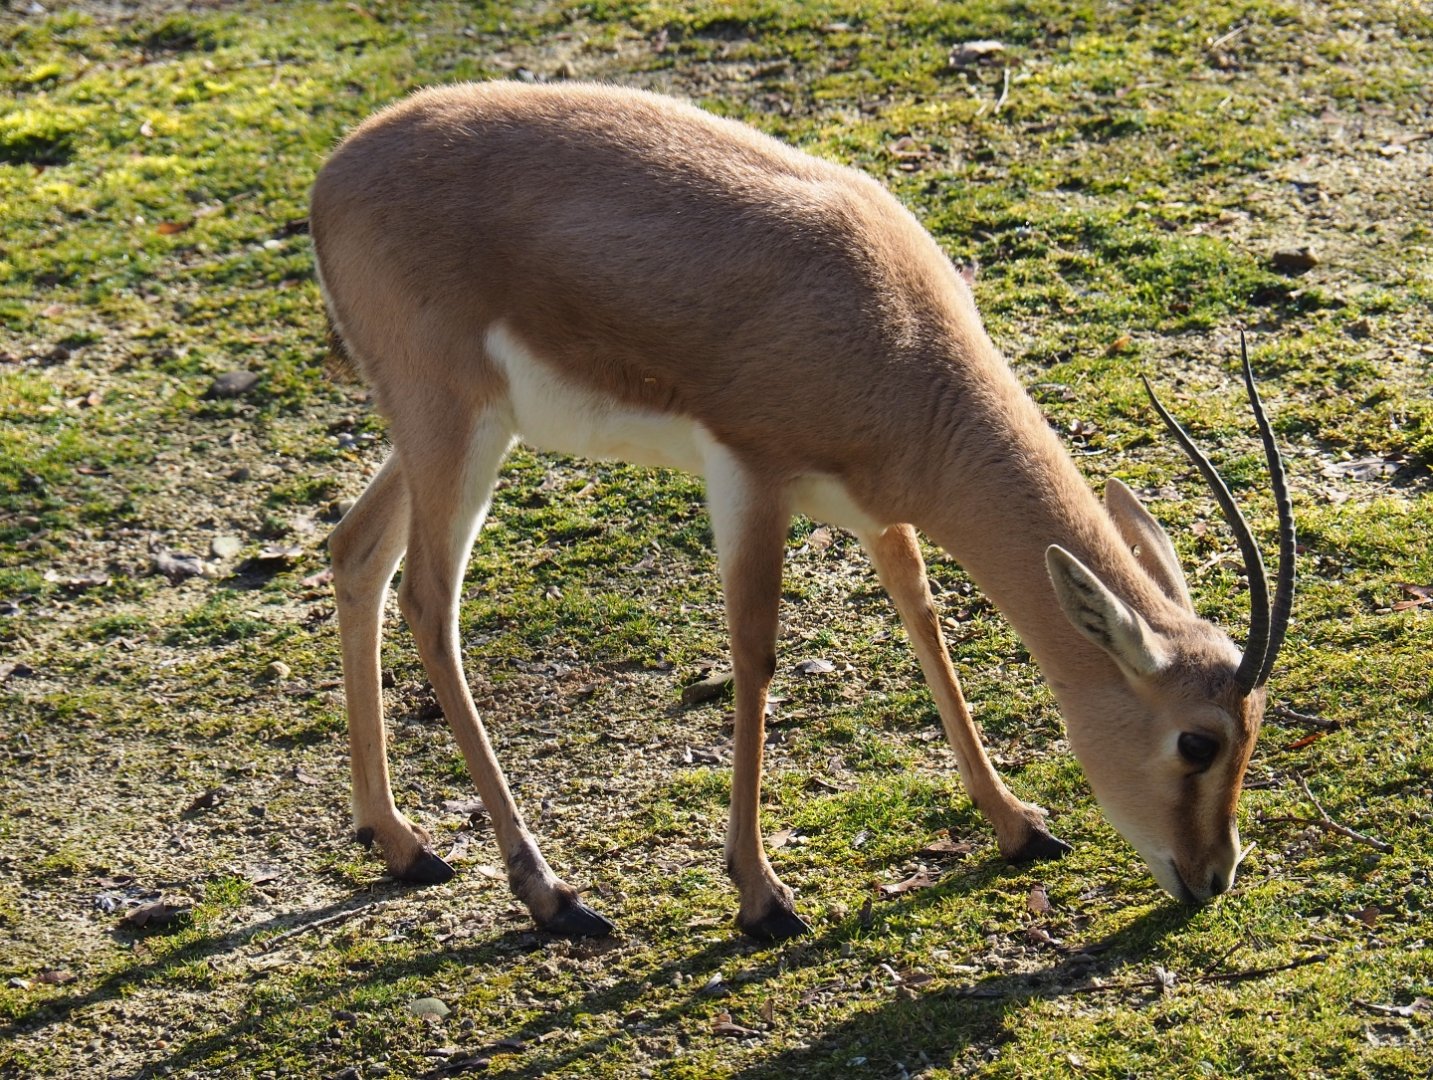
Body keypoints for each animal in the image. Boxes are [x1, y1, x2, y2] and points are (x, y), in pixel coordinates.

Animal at [310, 82, 1294, 941]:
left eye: (1253, 726)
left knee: (355, 552)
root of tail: (333, 175)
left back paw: (400, 844)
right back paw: (552, 899)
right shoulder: (751, 475)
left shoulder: (874, 510)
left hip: (445, 433)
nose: (1213, 877)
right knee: (428, 603)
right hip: (456, 426)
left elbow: (923, 618)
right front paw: (760, 897)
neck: (891, 330)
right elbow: (755, 656)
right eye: (1196, 743)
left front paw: (1016, 824)